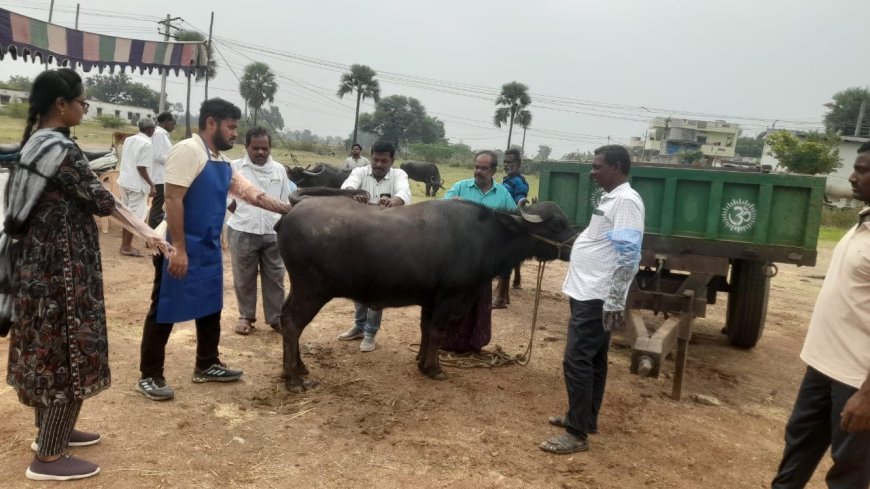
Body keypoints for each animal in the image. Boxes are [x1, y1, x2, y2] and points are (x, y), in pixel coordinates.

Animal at [276, 192, 576, 392]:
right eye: (557, 224)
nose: (575, 245)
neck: (486, 236)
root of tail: (289, 214)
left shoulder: (431, 300)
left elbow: (425, 329)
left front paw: (421, 361)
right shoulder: (449, 299)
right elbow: (437, 332)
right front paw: (435, 368)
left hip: (299, 289)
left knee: (284, 317)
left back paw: (298, 368)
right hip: (311, 291)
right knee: (292, 323)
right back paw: (294, 379)